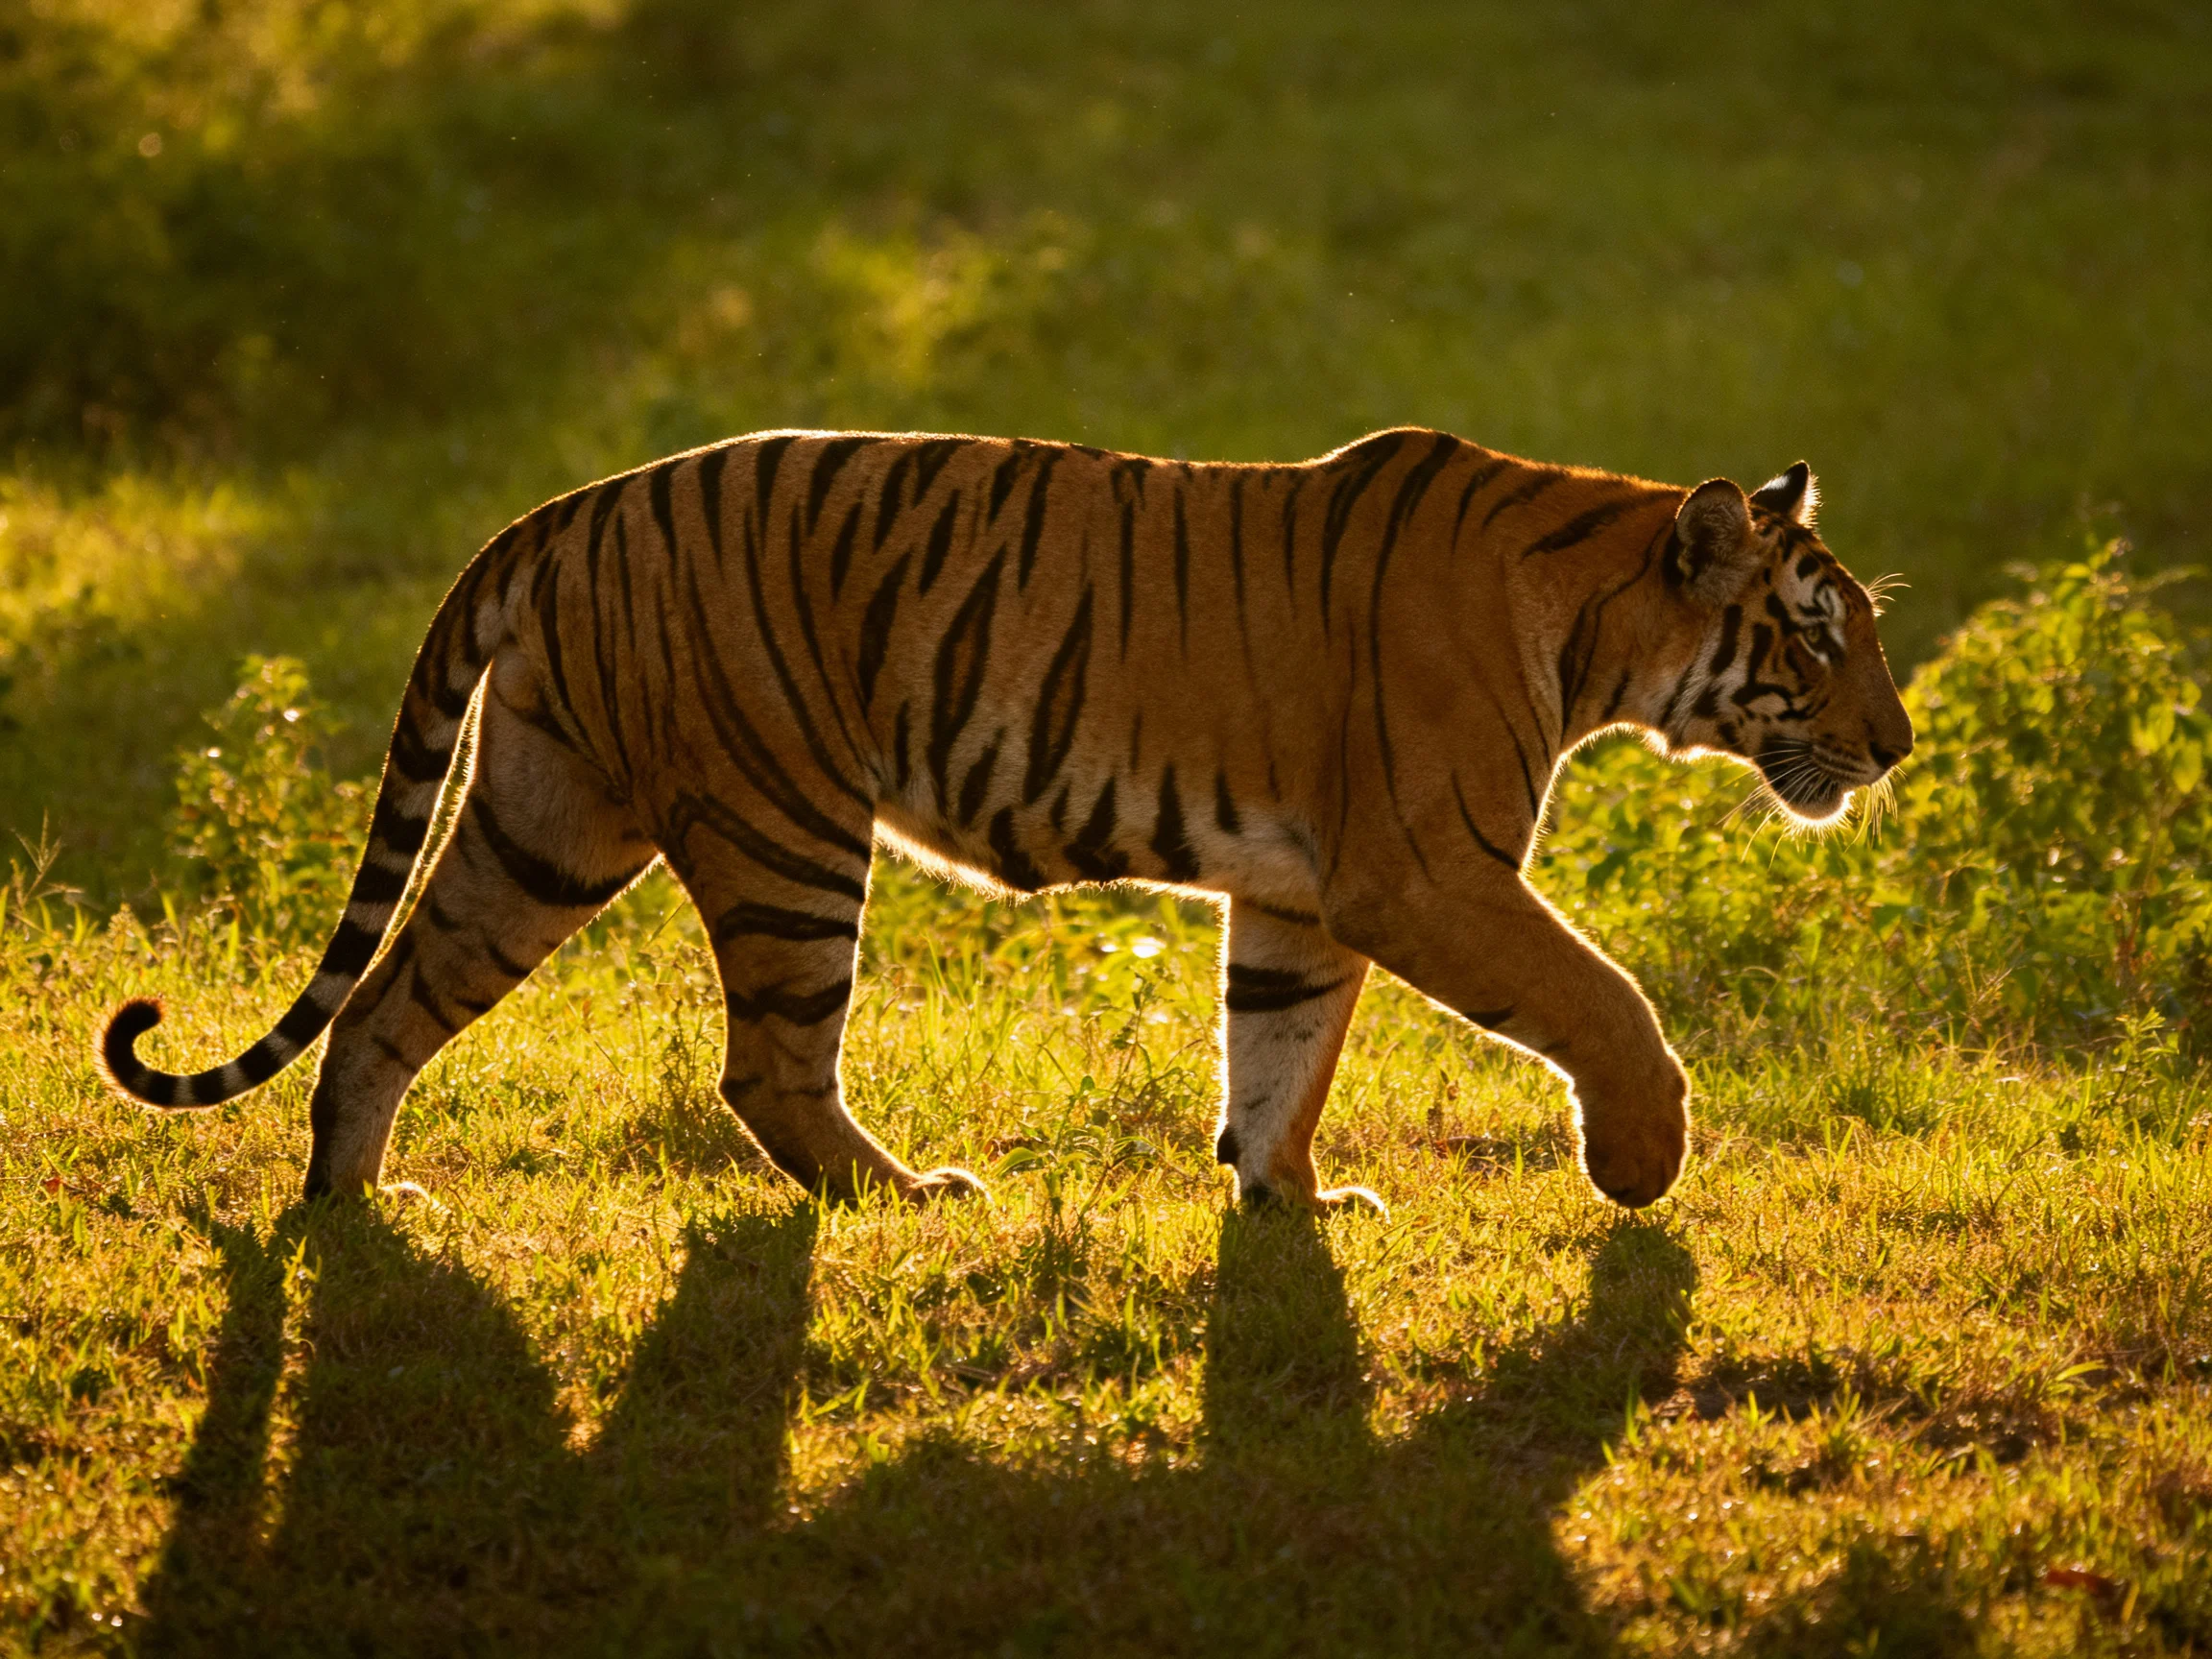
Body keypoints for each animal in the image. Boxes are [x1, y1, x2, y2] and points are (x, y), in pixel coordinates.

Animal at [101, 427, 1913, 1213]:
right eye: (1820, 634)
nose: (1894, 747)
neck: (1599, 616)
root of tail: (569, 503)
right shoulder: (1423, 869)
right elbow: (1602, 998)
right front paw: (1640, 1161)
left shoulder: (1303, 891)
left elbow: (1278, 1053)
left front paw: (1285, 1208)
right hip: (784, 827)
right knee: (766, 1067)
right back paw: (909, 1198)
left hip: (547, 816)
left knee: (388, 1001)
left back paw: (354, 1209)